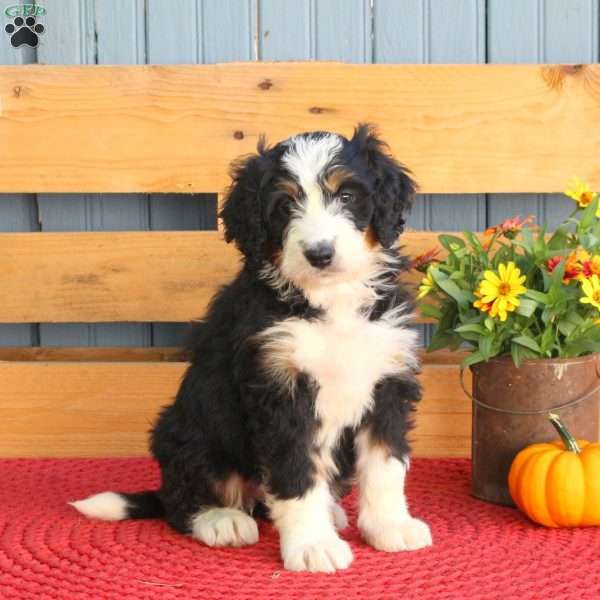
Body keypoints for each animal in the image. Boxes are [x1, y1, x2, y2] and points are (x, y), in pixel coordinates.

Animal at [71, 122, 432, 572]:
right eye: (285, 205)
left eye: (346, 196)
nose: (320, 254)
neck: (329, 301)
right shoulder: (280, 391)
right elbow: (294, 473)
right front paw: (312, 545)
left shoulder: (387, 380)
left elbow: (386, 465)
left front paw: (389, 526)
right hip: (190, 432)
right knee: (183, 498)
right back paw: (220, 519)